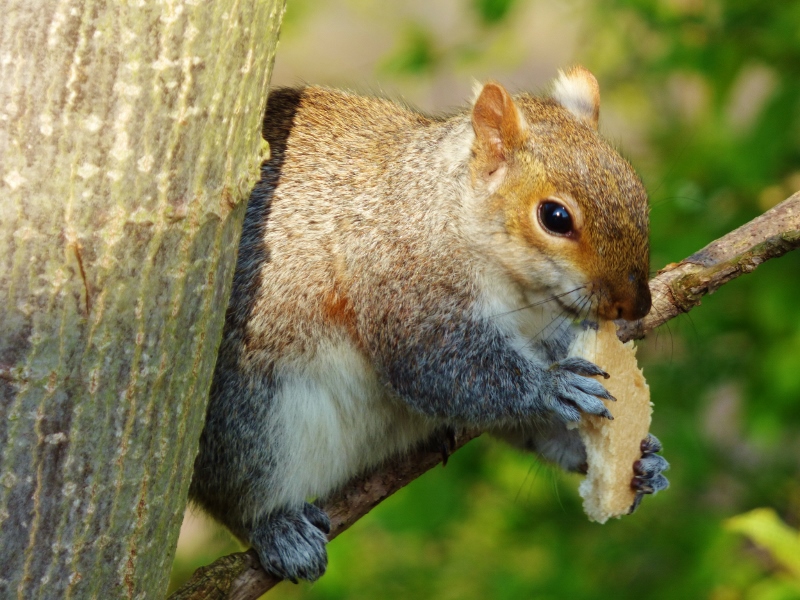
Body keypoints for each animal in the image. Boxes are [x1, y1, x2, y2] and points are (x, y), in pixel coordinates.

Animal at [189, 66, 669, 583]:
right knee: (236, 498)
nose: (637, 305)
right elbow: (442, 371)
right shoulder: (404, 284)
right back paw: (278, 529)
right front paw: (553, 386)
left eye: (638, 190)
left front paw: (644, 462)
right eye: (555, 217)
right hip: (247, 423)